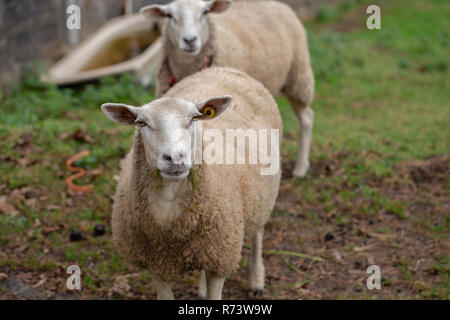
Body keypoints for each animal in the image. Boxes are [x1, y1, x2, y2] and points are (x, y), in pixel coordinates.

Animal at [102, 67, 282, 300]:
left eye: (194, 118)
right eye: (141, 123)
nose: (175, 157)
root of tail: (226, 69)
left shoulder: (221, 258)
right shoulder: (156, 264)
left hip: (261, 194)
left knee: (258, 233)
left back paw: (256, 279)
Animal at [142, 0, 314, 178]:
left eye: (205, 12)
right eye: (170, 15)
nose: (190, 40)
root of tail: (278, 4)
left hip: (298, 77)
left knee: (307, 118)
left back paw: (301, 167)